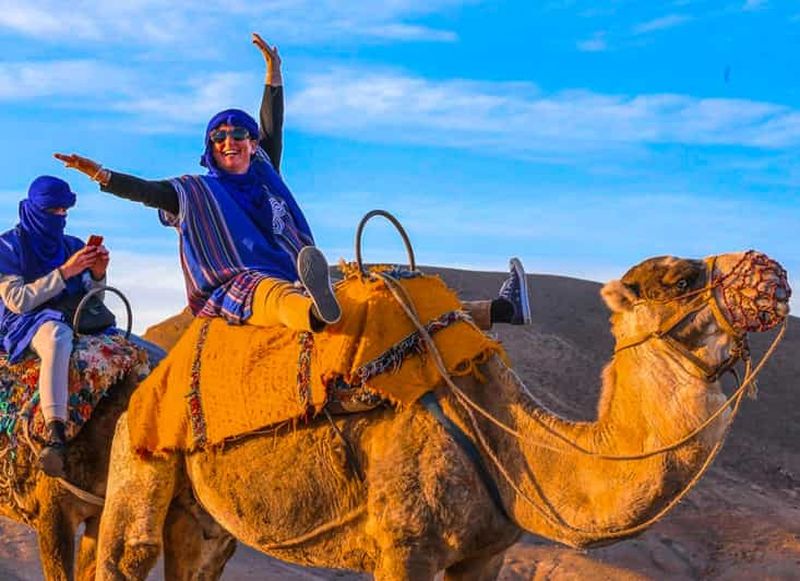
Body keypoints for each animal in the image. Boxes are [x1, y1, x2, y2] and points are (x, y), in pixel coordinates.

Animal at [94, 251, 790, 580]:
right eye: (680, 278)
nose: (775, 275)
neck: (509, 444)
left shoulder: (486, 554)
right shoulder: (406, 545)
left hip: (204, 516)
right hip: (140, 447)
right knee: (125, 553)